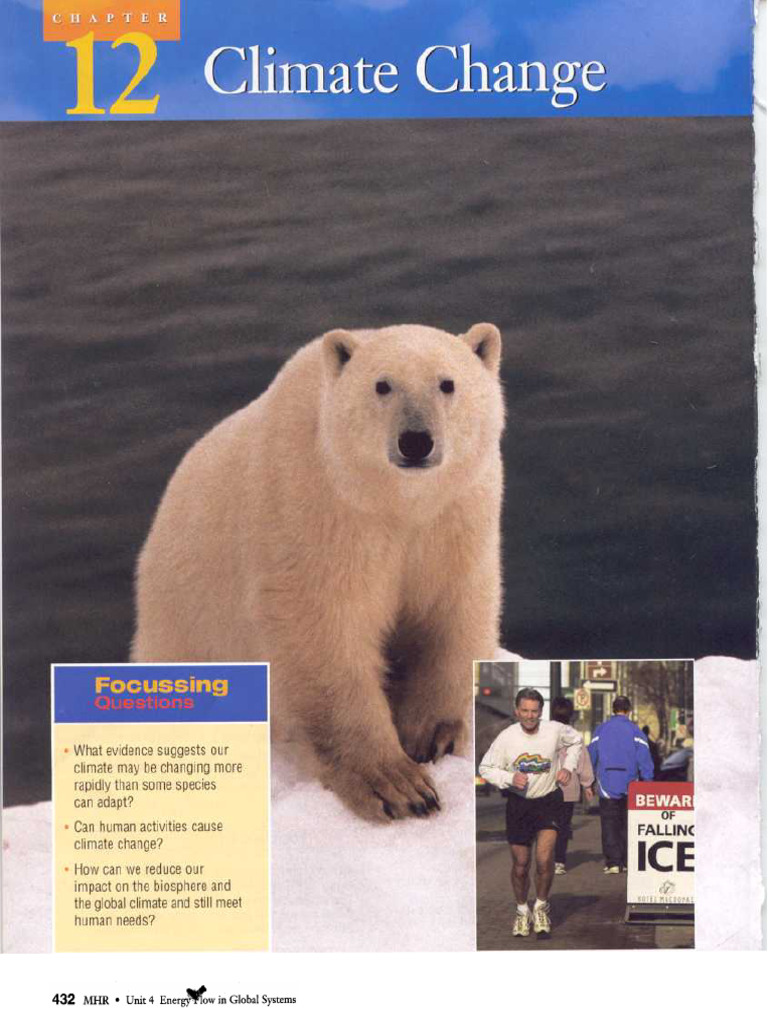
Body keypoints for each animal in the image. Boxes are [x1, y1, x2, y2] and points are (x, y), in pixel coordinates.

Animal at [132, 322, 505, 822]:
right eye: (382, 385)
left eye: (447, 384)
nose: (415, 440)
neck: (395, 504)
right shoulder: (315, 507)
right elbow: (323, 632)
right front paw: (396, 785)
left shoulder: (456, 516)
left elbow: (453, 609)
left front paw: (432, 735)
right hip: (184, 632)